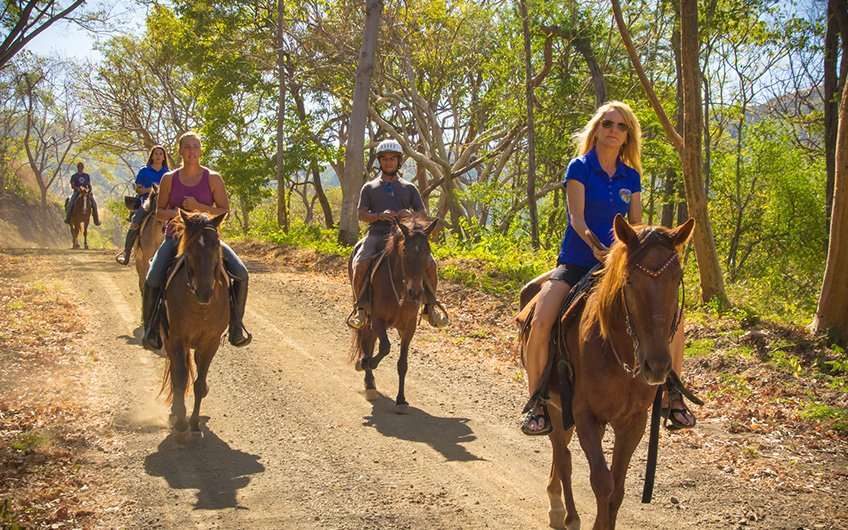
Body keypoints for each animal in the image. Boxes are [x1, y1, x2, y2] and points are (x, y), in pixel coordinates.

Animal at [158, 209, 229, 438]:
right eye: (189, 249)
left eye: (216, 244)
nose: (205, 292)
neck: (200, 307)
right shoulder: (177, 339)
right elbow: (180, 380)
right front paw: (181, 423)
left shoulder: (210, 342)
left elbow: (198, 384)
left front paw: (195, 424)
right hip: (168, 340)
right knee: (175, 373)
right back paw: (175, 413)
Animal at [348, 213, 438, 408]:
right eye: (405, 250)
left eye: (427, 250)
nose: (415, 293)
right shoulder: (377, 319)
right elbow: (385, 347)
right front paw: (367, 363)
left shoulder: (409, 326)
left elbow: (402, 363)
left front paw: (401, 399)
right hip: (366, 314)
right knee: (367, 341)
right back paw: (368, 380)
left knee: (370, 341)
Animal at [524, 214, 696, 528]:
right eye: (629, 281)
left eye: (676, 279)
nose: (657, 366)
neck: (621, 358)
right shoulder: (585, 415)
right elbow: (602, 483)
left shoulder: (633, 421)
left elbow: (617, 489)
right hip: (554, 405)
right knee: (563, 456)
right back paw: (564, 512)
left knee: (563, 453)